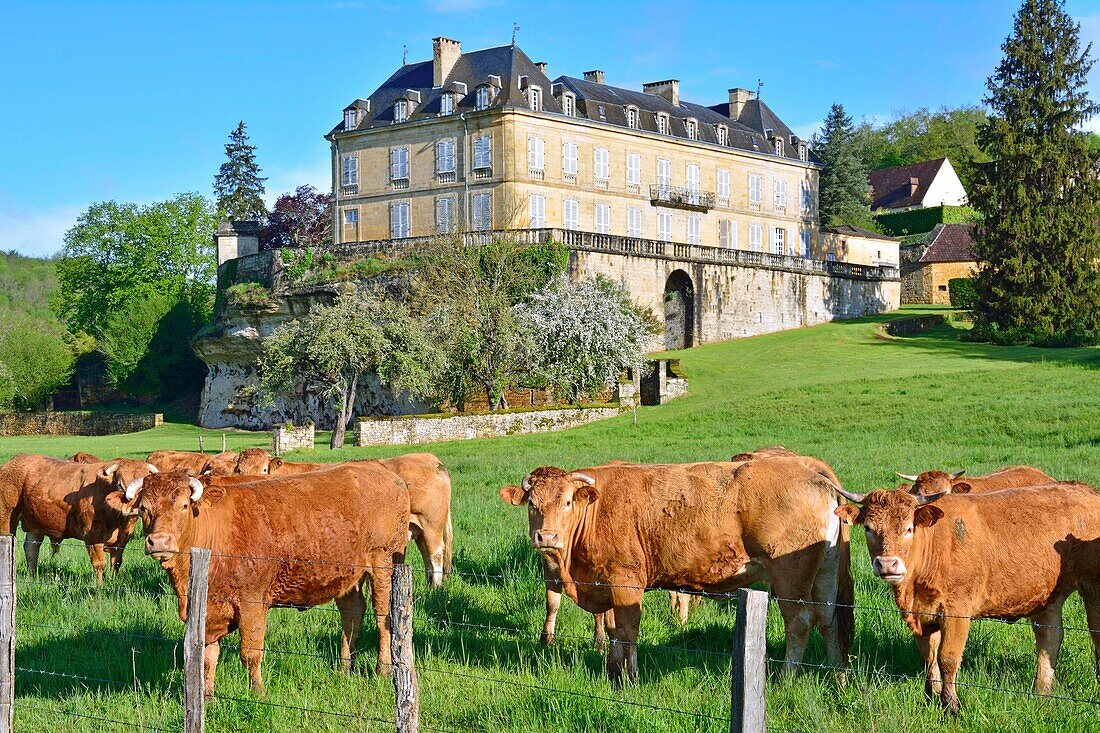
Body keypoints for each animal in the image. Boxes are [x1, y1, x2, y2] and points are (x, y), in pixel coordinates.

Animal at [0, 451, 159, 581]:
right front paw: (100, 587)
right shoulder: (93, 536)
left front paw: (113, 581)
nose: (132, 506)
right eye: (119, 484)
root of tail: (15, 460)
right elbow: (99, 564)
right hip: (6, 517)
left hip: (36, 524)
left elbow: (116, 562)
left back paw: (32, 577)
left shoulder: (123, 538)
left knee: (31, 549)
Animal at [109, 464, 411, 695]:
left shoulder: (252, 602)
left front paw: (258, 692)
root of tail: (385, 473)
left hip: (384, 563)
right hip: (347, 574)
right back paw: (344, 667)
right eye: (143, 508)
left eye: (184, 505)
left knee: (382, 616)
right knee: (352, 613)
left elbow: (250, 652)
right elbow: (207, 656)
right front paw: (208, 695)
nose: (159, 541)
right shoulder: (208, 611)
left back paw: (383, 668)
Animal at [232, 449, 455, 585]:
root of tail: (431, 459)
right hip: (418, 528)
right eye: (239, 469)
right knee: (427, 554)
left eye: (264, 469)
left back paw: (436, 586)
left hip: (431, 524)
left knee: (436, 553)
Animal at [499, 457, 849, 677]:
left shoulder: (626, 581)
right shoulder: (606, 583)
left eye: (568, 501)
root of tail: (813, 474)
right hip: (825, 573)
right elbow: (612, 631)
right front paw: (612, 671)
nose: (546, 536)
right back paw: (839, 677)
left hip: (790, 577)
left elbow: (627, 631)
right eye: (532, 504)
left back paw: (785, 678)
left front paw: (629, 676)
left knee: (800, 622)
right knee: (829, 620)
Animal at [831, 482, 1100, 708]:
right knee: (1049, 639)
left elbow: (947, 658)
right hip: (1049, 596)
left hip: (1093, 589)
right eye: (868, 528)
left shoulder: (957, 612)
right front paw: (931, 696)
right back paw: (1042, 693)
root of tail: (1086, 490)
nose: (887, 564)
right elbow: (929, 657)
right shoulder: (923, 615)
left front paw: (950, 706)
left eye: (908, 528)